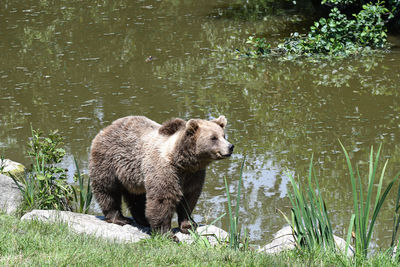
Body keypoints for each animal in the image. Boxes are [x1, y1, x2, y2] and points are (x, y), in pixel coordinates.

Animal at [89, 115, 233, 234]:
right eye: (213, 138)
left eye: (224, 135)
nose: (230, 147)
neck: (183, 162)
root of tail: (105, 129)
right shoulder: (165, 170)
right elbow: (162, 199)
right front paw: (166, 233)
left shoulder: (194, 175)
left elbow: (189, 198)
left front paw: (188, 225)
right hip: (109, 162)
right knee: (108, 190)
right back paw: (119, 218)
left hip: (133, 176)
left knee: (137, 197)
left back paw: (142, 219)